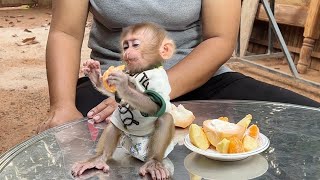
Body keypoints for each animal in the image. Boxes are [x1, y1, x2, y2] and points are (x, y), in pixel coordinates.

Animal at [71, 22, 176, 179]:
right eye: (126, 46)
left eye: (136, 45)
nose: (127, 52)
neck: (141, 70)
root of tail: (136, 149)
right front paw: (96, 76)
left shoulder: (158, 79)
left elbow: (154, 105)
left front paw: (125, 86)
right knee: (115, 124)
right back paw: (99, 158)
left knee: (165, 118)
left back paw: (154, 162)